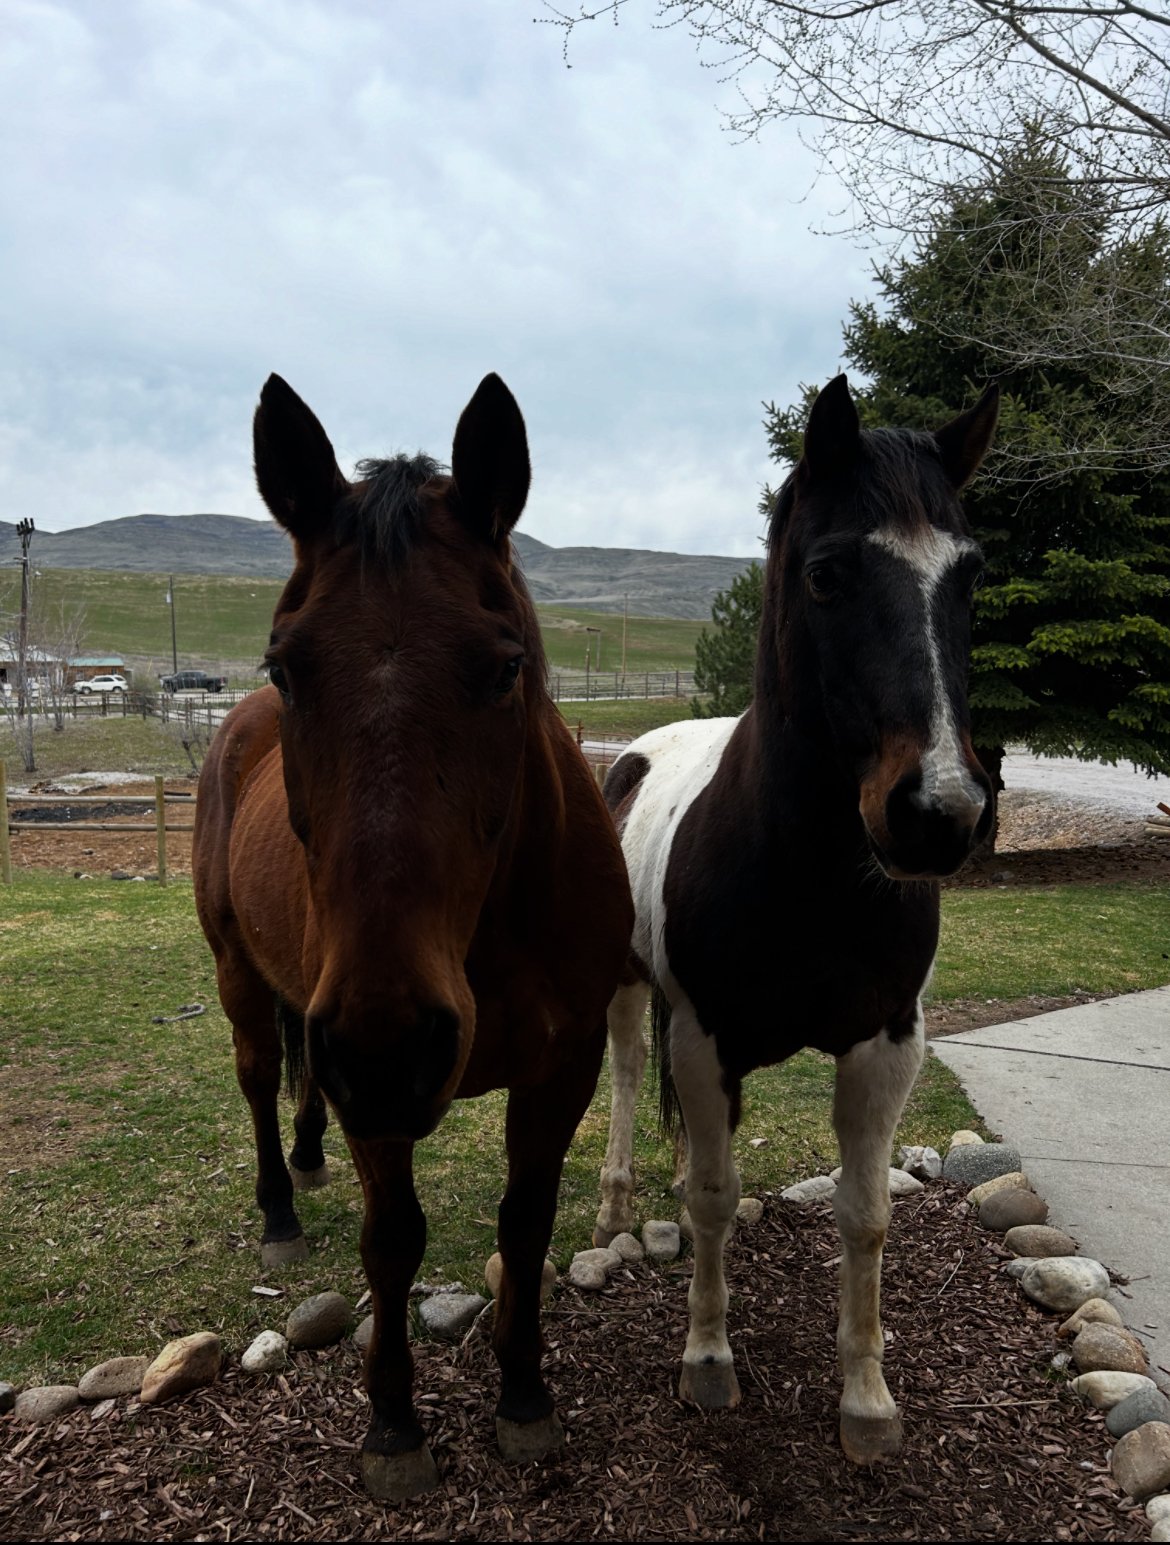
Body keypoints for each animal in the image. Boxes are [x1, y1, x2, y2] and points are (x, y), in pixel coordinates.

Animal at [192, 372, 633, 1500]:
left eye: (504, 667)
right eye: (288, 667)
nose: (392, 1045)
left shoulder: (561, 1067)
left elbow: (525, 1224)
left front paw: (524, 1394)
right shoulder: (373, 1082)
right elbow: (392, 1241)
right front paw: (392, 1421)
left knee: (303, 1076)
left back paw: (307, 1155)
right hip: (243, 975)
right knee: (262, 1074)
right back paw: (279, 1207)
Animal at [593, 374, 998, 1465]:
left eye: (971, 578)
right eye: (826, 575)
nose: (939, 813)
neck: (809, 875)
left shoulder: (886, 1045)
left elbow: (863, 1216)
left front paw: (867, 1397)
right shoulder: (704, 1037)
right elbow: (717, 1194)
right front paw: (707, 1359)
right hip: (628, 991)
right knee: (629, 1078)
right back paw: (616, 1203)